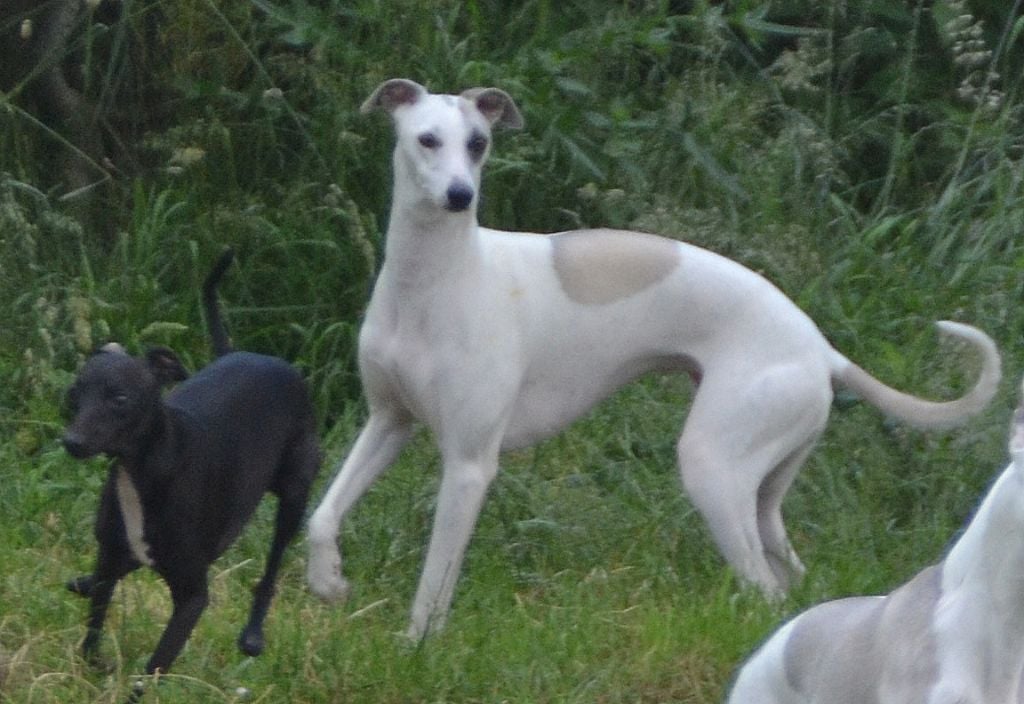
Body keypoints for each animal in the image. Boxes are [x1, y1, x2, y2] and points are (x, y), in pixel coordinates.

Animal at [64, 251, 319, 675]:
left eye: (119, 398)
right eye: (75, 393)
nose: (70, 442)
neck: (145, 471)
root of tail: (244, 352)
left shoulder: (193, 597)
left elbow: (153, 668)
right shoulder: (111, 553)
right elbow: (91, 635)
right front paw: (97, 663)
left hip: (295, 491)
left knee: (272, 564)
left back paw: (253, 634)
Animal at [305, 76, 999, 638]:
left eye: (478, 143)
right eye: (427, 140)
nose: (459, 196)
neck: (432, 282)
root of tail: (821, 347)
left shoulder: (470, 464)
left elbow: (434, 579)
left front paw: (418, 647)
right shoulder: (389, 422)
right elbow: (322, 513)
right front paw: (328, 581)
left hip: (712, 466)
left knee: (765, 592)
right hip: (764, 490)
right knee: (790, 576)